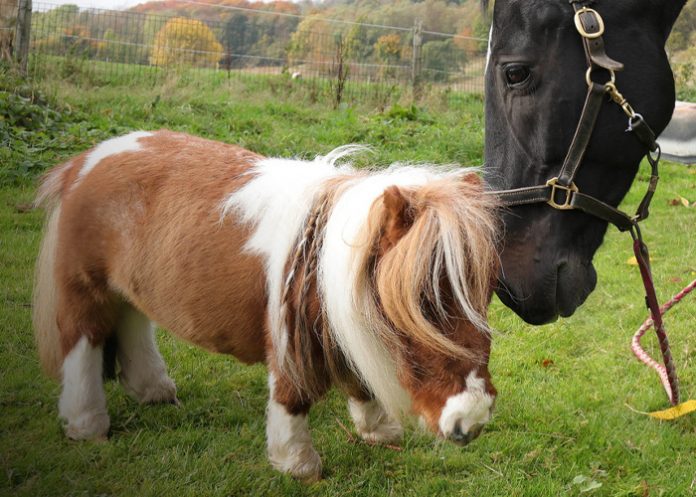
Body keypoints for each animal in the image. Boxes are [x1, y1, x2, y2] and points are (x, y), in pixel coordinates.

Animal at [32, 131, 500, 481]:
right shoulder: (288, 336)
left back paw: (154, 391)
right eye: (423, 302)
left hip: (127, 288)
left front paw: (379, 431)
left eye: (482, 294)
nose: (471, 419)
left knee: (133, 324)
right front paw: (298, 464)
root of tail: (86, 161)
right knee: (83, 345)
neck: (322, 254)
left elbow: (358, 379)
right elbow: (291, 396)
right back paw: (87, 424)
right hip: (85, 290)